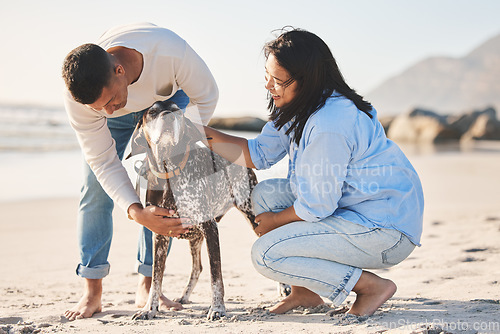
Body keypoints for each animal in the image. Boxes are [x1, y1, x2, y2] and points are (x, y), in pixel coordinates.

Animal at [129, 100, 258, 320]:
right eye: (152, 112)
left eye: (177, 111)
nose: (168, 116)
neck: (168, 170)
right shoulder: (159, 235)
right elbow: (156, 278)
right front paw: (149, 309)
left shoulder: (210, 228)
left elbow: (216, 275)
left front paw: (217, 308)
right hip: (195, 238)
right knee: (197, 267)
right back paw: (184, 296)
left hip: (252, 214)